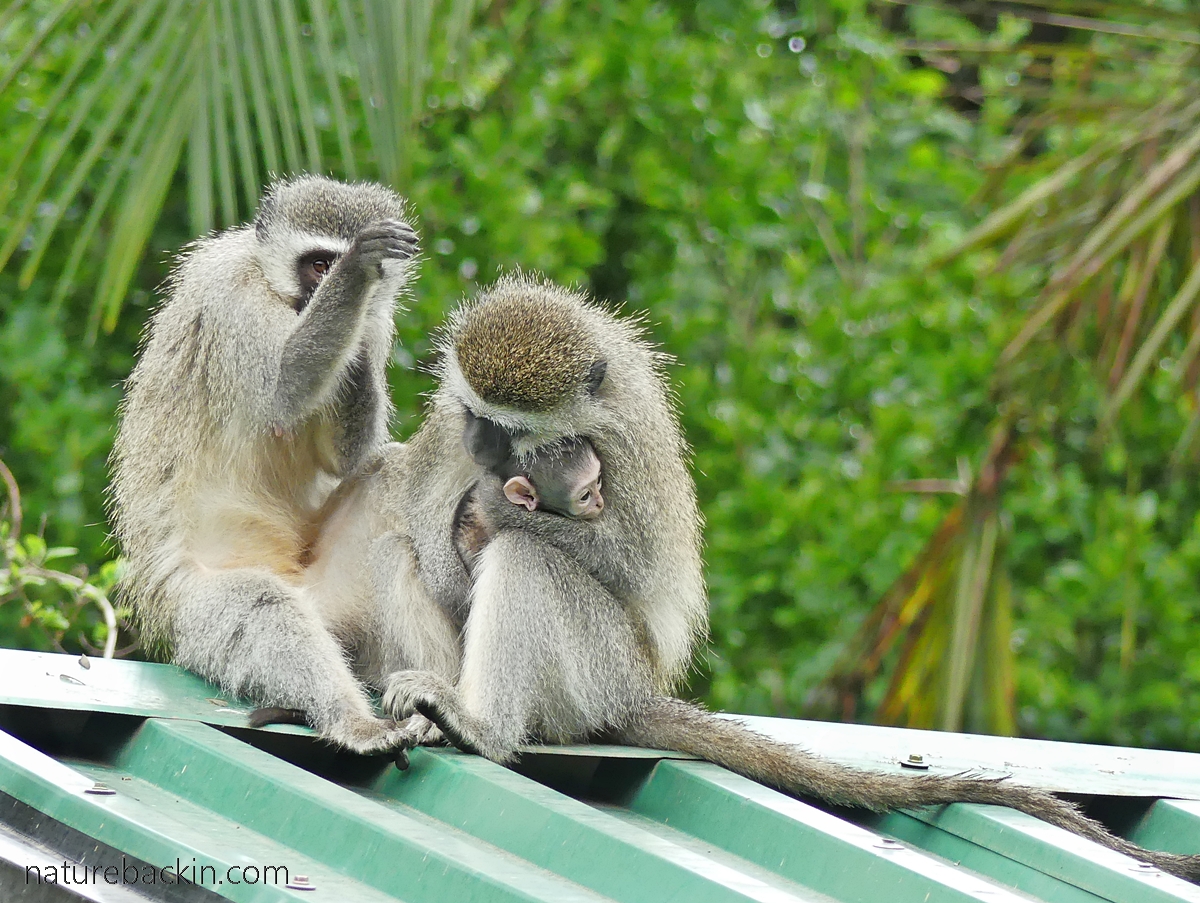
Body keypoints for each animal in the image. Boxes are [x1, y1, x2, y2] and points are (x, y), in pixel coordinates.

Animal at [108, 174, 423, 754]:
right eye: (319, 266)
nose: (328, 293)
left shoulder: (379, 324)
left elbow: (344, 457)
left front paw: (360, 331)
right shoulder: (234, 295)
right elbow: (283, 391)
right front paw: (358, 271)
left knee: (389, 471)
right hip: (193, 608)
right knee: (261, 607)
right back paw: (353, 721)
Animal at [368, 273, 1200, 883]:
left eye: (514, 429)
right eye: (478, 414)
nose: (481, 444)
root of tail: (637, 691)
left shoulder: (625, 438)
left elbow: (630, 562)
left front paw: (496, 510)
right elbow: (419, 514)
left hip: (598, 668)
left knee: (529, 560)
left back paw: (484, 723)